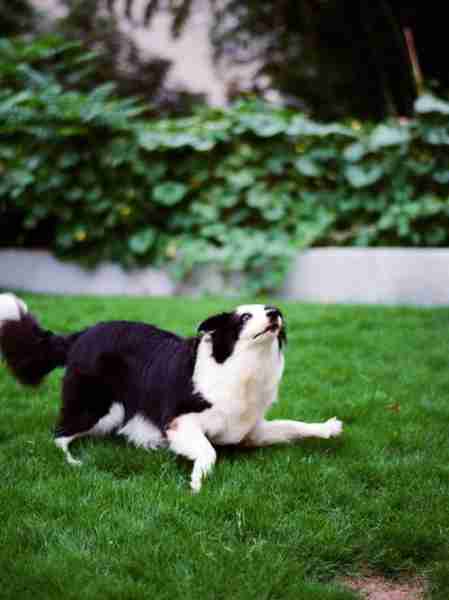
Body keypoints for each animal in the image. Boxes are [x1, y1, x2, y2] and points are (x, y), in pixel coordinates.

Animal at [0, 292, 344, 490]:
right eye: (245, 316)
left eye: (270, 310)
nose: (275, 312)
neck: (240, 365)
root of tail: (81, 334)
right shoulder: (180, 421)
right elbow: (208, 450)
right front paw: (198, 480)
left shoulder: (249, 431)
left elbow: (292, 425)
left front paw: (327, 428)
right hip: (100, 407)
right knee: (59, 432)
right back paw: (72, 462)